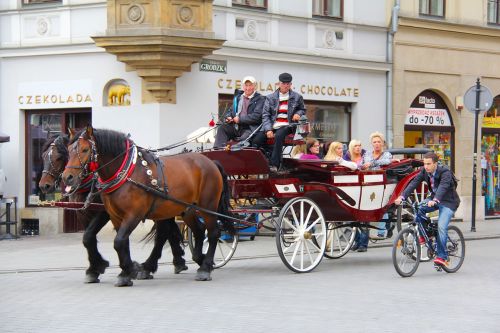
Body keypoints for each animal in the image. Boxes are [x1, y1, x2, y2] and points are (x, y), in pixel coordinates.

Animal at [39, 132, 188, 282]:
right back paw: (176, 261)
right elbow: (88, 238)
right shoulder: (83, 213)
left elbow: (89, 236)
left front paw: (100, 267)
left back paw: (150, 266)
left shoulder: (104, 213)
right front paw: (95, 267)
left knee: (163, 232)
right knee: (167, 229)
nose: (44, 185)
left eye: (58, 157)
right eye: (43, 155)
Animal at [61, 125, 232, 286]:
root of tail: (210, 162)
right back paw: (196, 259)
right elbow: (118, 242)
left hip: (208, 206)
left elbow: (118, 241)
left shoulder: (132, 214)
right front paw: (125, 270)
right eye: (68, 150)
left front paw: (127, 271)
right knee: (197, 231)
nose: (67, 177)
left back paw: (205, 267)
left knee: (213, 233)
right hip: (187, 209)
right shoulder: (115, 216)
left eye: (85, 149)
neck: (126, 173)